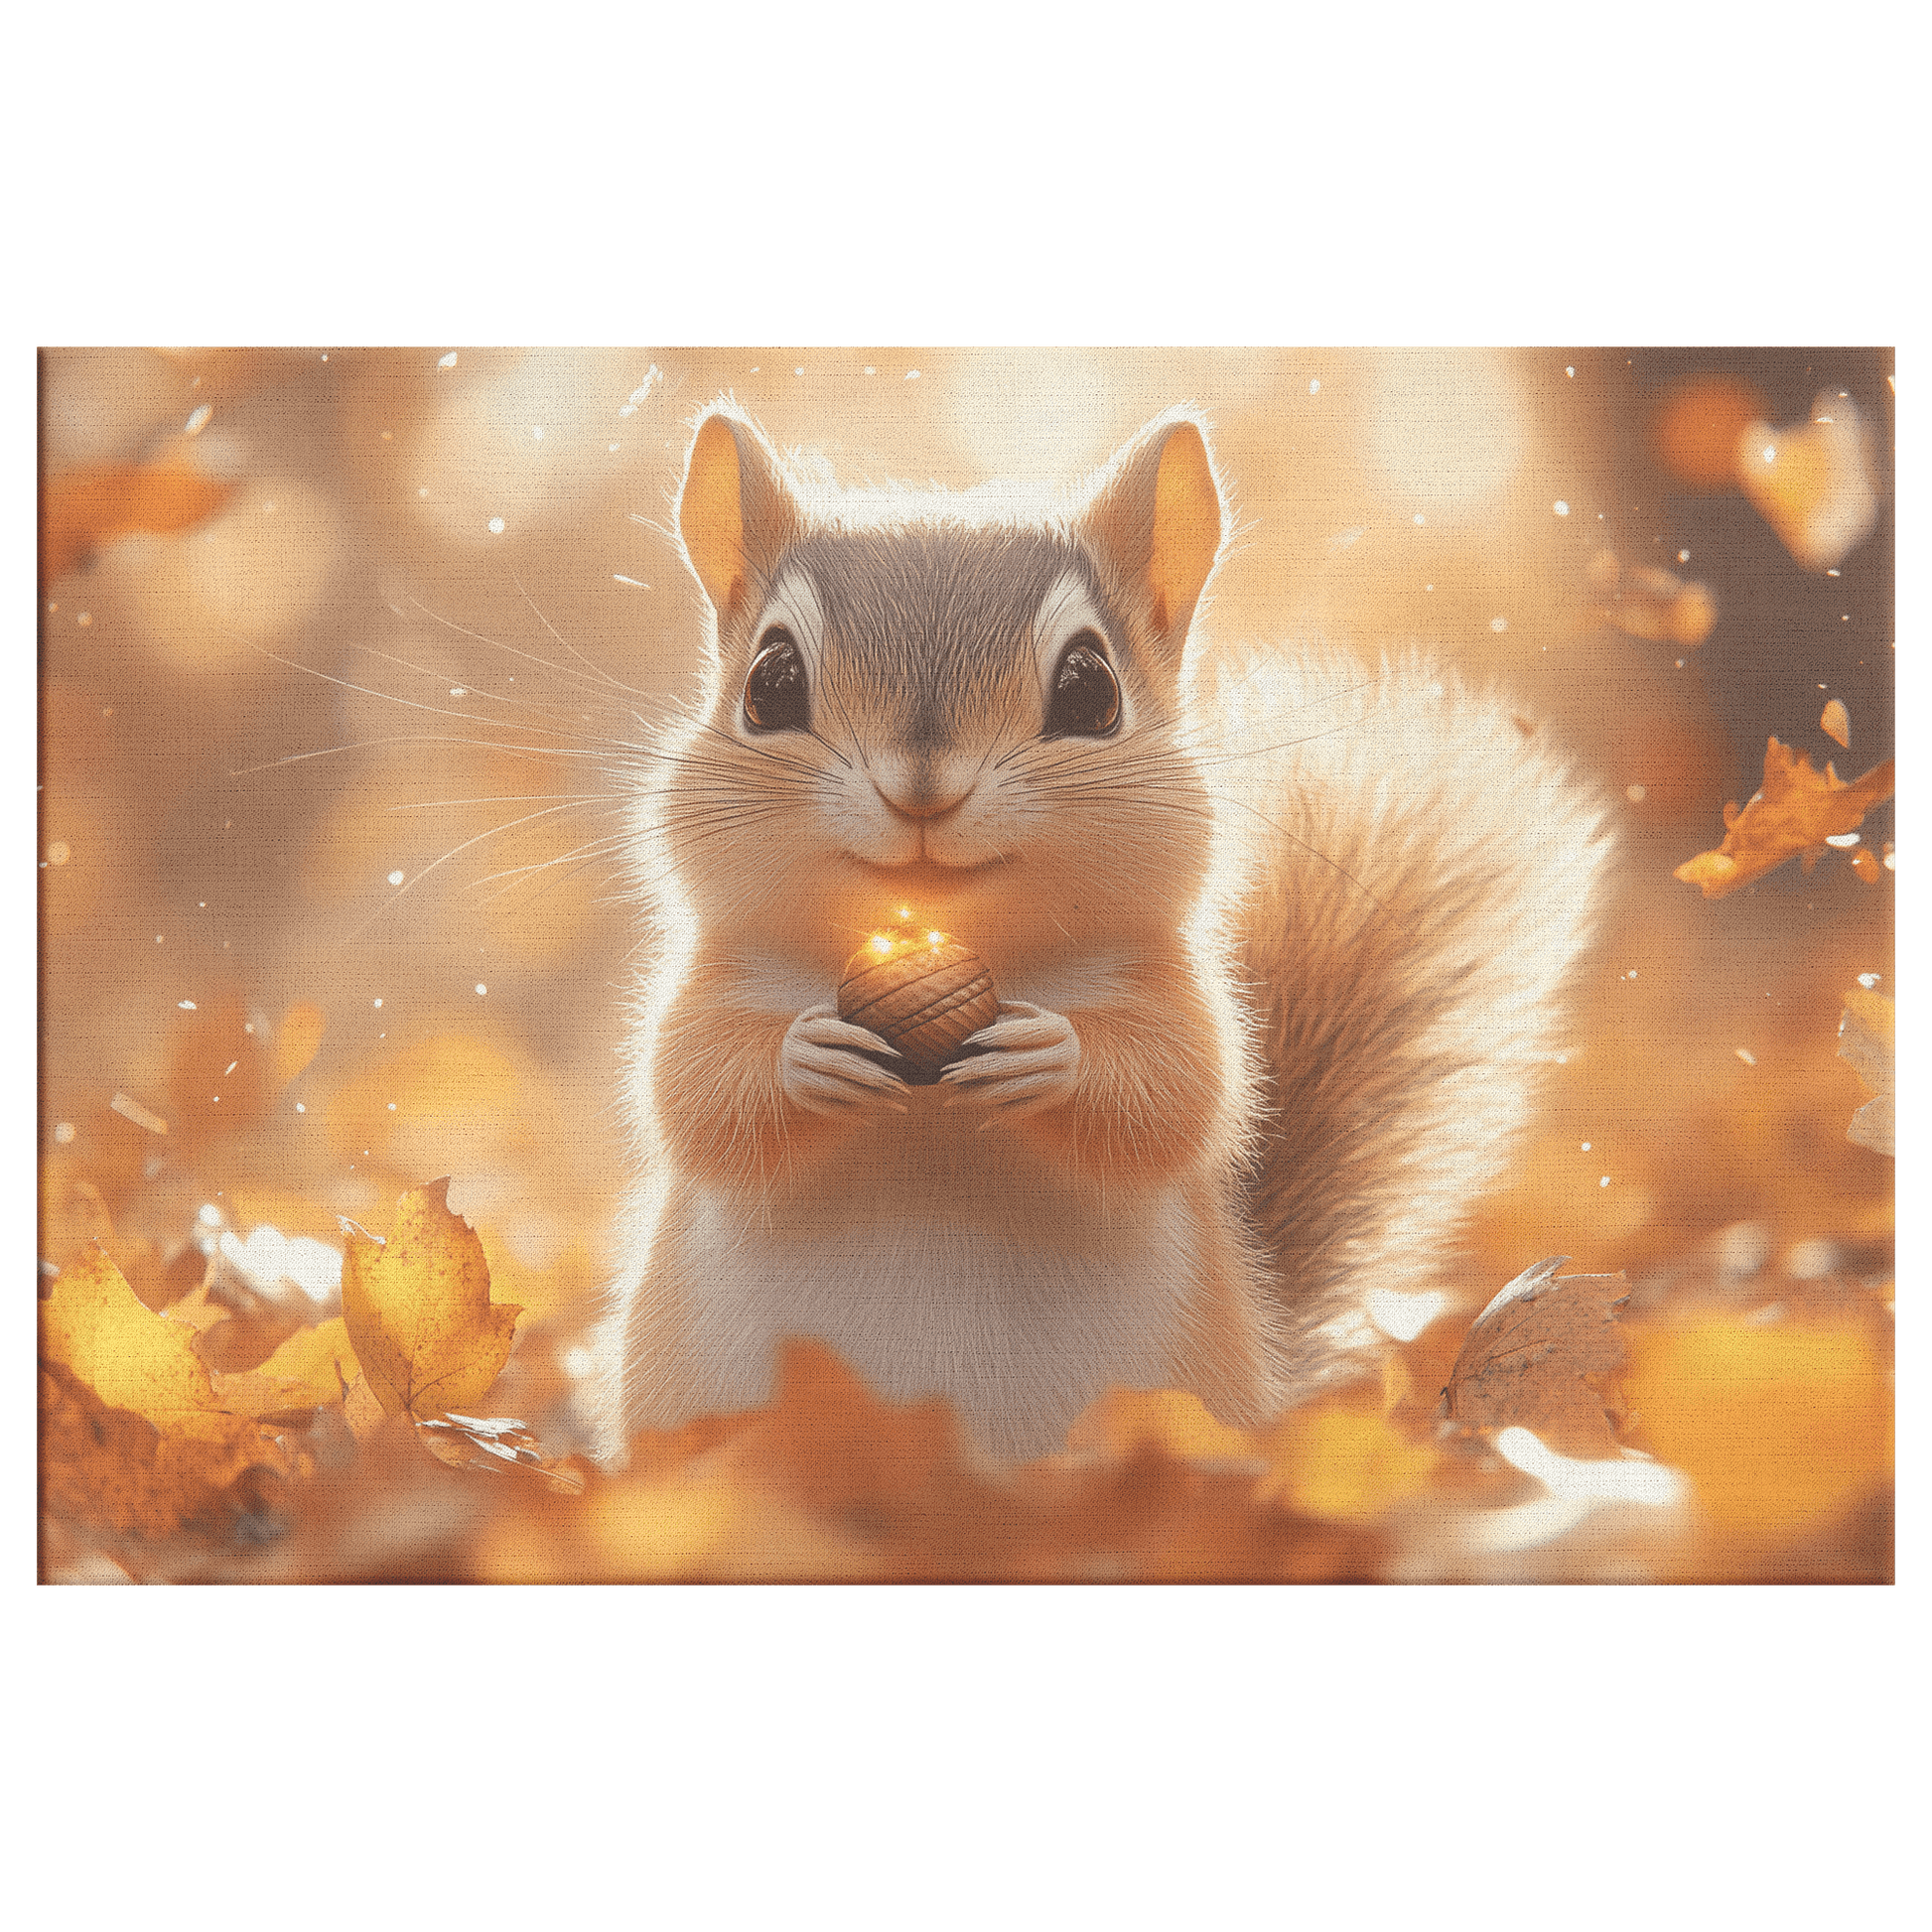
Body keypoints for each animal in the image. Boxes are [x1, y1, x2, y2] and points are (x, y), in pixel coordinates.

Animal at [585, 403, 1611, 1463]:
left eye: (1090, 691)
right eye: (771, 683)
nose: (922, 790)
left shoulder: (1177, 994)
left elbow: (1178, 1092)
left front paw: (1056, 1054)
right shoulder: (710, 982)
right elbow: (692, 1086)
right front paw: (806, 1054)